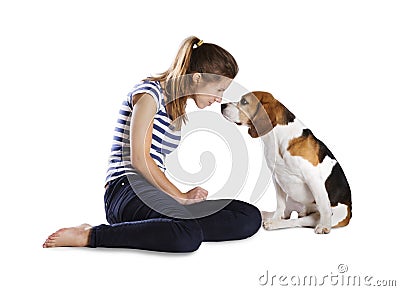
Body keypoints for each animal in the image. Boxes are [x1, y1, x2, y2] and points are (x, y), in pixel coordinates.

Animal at [220, 92, 352, 235]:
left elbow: (323, 205)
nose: (222, 105)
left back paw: (275, 224)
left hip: (323, 215)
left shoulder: (313, 178)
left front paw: (324, 226)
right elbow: (280, 204)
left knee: (298, 220)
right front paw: (275, 217)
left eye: (244, 101)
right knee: (286, 213)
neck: (277, 138)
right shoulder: (276, 177)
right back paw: (270, 216)